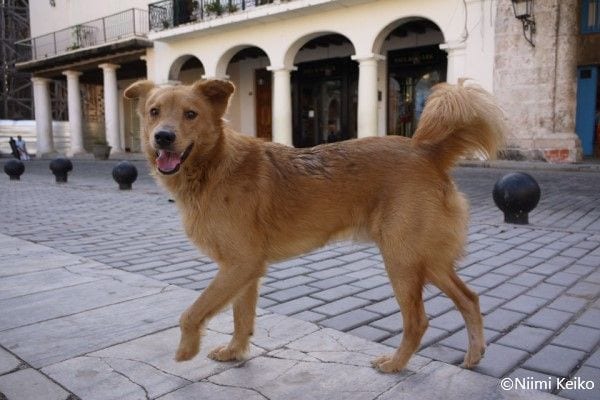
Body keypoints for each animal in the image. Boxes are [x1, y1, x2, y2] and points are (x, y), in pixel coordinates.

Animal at [124, 79, 504, 374]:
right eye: (154, 112)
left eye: (191, 114)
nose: (163, 137)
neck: (213, 165)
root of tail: (426, 152)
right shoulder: (244, 270)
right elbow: (241, 318)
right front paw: (235, 352)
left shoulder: (240, 265)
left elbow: (192, 313)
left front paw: (186, 350)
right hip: (426, 260)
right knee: (469, 299)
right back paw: (474, 354)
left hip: (402, 261)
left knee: (418, 321)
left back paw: (396, 364)